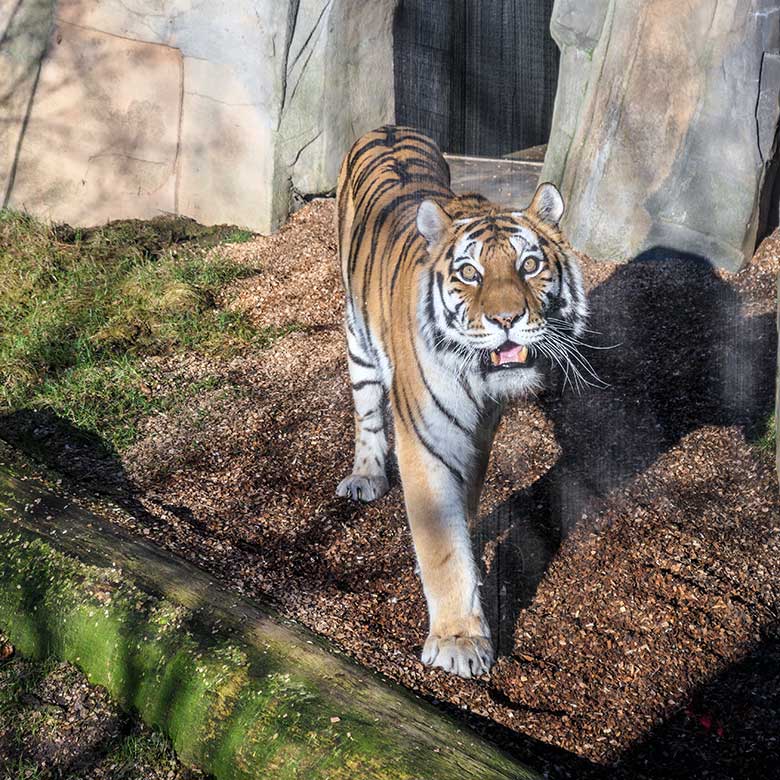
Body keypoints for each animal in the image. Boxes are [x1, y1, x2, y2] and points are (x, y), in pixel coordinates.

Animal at [334, 126, 584, 676]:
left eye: (530, 265)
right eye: (469, 273)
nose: (507, 318)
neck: (478, 378)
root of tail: (387, 126)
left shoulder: (482, 428)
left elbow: (467, 501)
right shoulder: (427, 441)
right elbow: (443, 550)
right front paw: (459, 642)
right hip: (358, 341)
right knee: (367, 416)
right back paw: (365, 477)